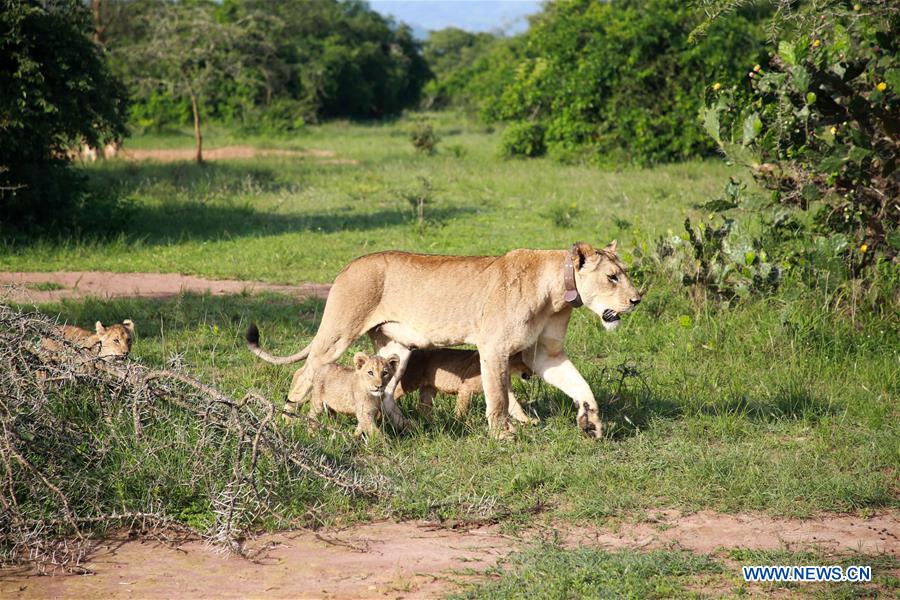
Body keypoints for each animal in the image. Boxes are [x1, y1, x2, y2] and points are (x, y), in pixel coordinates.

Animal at [394, 349, 536, 423]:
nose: (533, 373)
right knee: (394, 391)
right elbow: (461, 409)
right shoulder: (466, 388)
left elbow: (516, 407)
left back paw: (430, 422)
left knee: (423, 407)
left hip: (429, 389)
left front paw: (529, 421)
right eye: (526, 362)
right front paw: (457, 423)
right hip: (410, 382)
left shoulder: (506, 391)